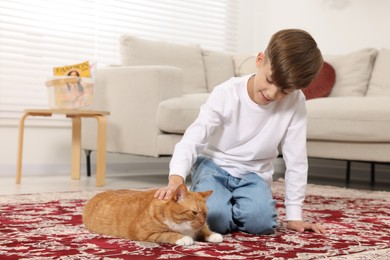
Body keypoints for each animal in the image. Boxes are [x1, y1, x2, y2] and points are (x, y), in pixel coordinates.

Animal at [82, 184, 222, 245]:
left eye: (205, 214)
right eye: (194, 213)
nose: (202, 221)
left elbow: (205, 230)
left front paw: (213, 235)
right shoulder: (146, 234)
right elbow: (168, 233)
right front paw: (183, 238)